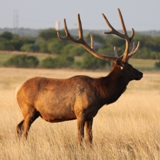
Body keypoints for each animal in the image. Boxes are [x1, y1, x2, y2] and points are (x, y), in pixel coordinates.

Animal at [15, 8, 142, 144]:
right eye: (129, 67)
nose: (141, 73)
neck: (101, 93)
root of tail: (18, 89)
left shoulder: (91, 115)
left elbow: (90, 138)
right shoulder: (80, 112)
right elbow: (80, 137)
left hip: (33, 113)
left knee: (18, 126)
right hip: (28, 109)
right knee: (24, 130)